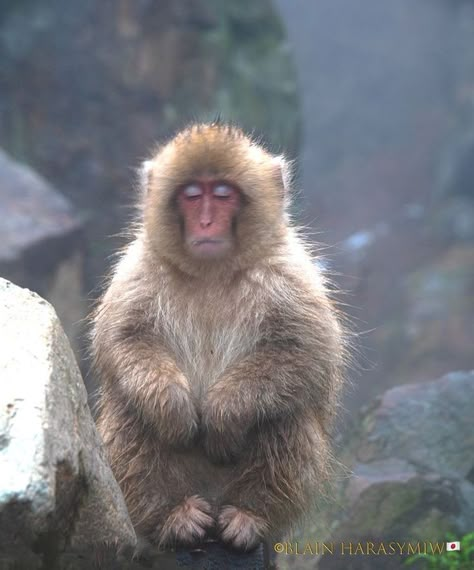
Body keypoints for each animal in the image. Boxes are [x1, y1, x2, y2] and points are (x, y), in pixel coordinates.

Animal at [90, 120, 346, 552]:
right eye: (193, 196)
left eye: (223, 195)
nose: (207, 222)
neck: (212, 271)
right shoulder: (138, 270)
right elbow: (126, 340)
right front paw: (174, 409)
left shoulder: (290, 273)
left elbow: (304, 350)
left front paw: (224, 415)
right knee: (132, 412)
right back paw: (171, 518)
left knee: (286, 415)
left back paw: (250, 516)